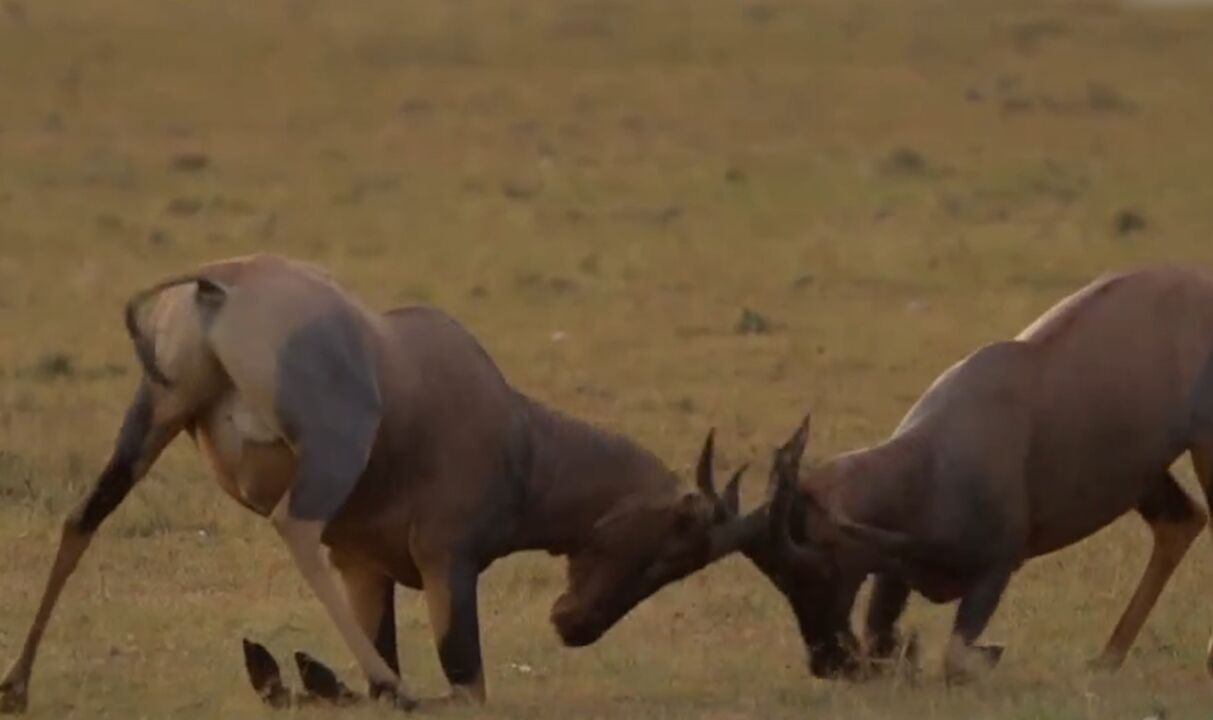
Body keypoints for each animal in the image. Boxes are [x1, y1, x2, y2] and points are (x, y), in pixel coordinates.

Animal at [0, 253, 756, 712]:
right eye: (676, 544)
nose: (574, 627)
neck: (512, 425)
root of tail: (222, 281)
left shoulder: (364, 568)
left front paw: (305, 676)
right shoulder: (447, 562)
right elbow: (467, 686)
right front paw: (351, 681)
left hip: (153, 417)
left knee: (83, 518)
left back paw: (18, 685)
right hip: (332, 450)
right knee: (294, 528)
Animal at [761, 265, 1213, 683]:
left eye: (822, 564)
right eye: (780, 578)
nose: (827, 662)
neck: (931, 463)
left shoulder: (998, 568)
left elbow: (956, 656)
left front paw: (989, 654)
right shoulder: (894, 573)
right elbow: (881, 635)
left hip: (1203, 446)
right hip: (1142, 473)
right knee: (1181, 523)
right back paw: (1107, 659)